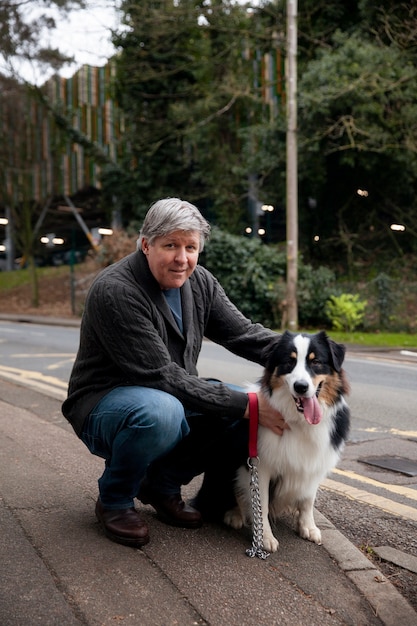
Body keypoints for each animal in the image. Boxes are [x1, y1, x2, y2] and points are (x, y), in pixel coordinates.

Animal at [223, 330, 350, 548]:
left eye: (316, 362)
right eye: (289, 362)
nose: (301, 387)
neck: (299, 421)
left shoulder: (315, 462)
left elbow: (308, 499)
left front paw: (308, 527)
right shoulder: (260, 465)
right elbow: (261, 504)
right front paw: (264, 537)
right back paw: (235, 515)